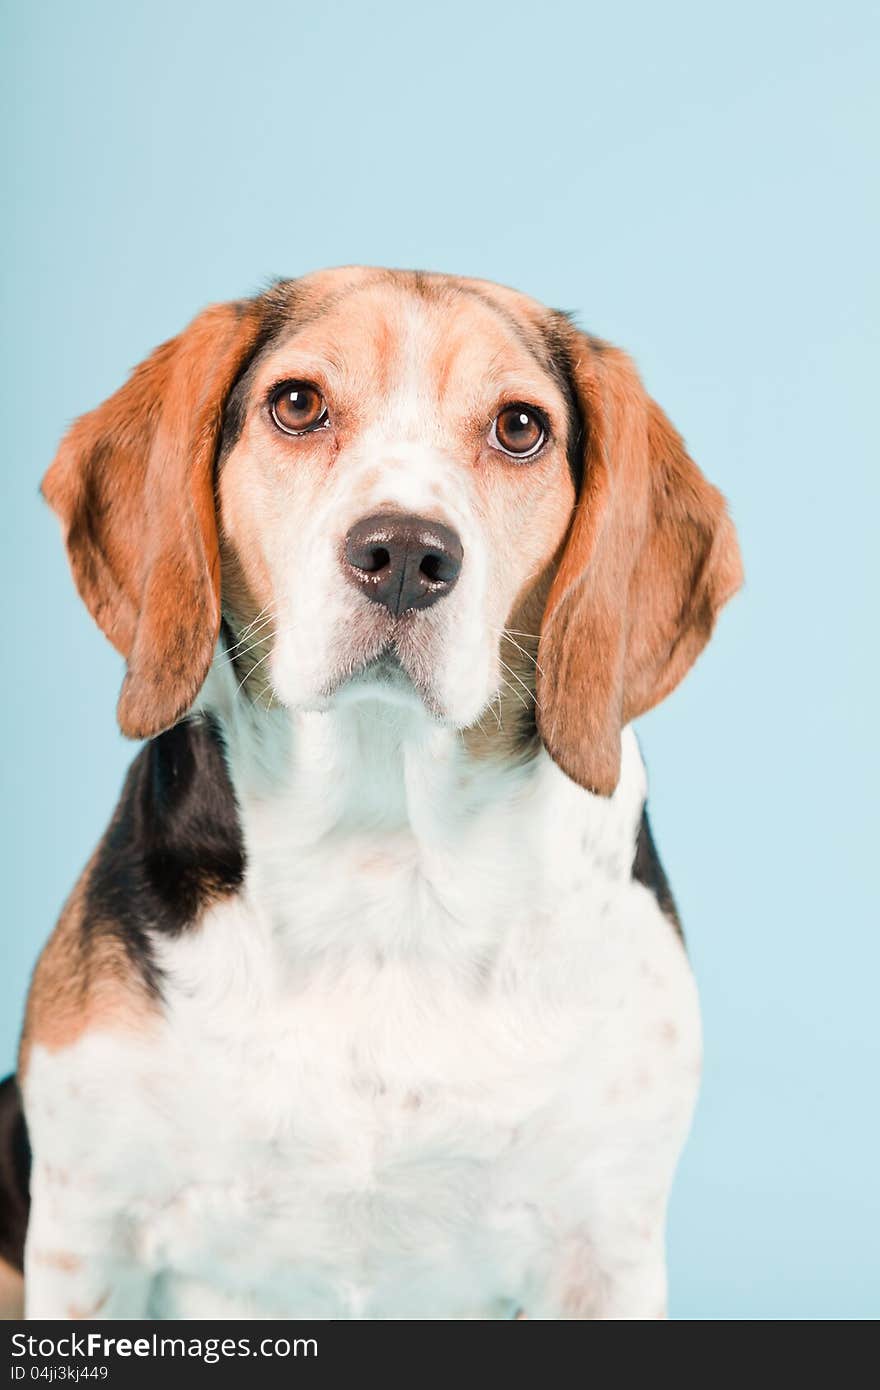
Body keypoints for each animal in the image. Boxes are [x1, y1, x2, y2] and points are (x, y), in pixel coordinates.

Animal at [0, 265, 739, 1317]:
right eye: (297, 404)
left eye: (521, 427)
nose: (405, 555)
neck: (388, 853)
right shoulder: (87, 1233)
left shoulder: (606, 1253)